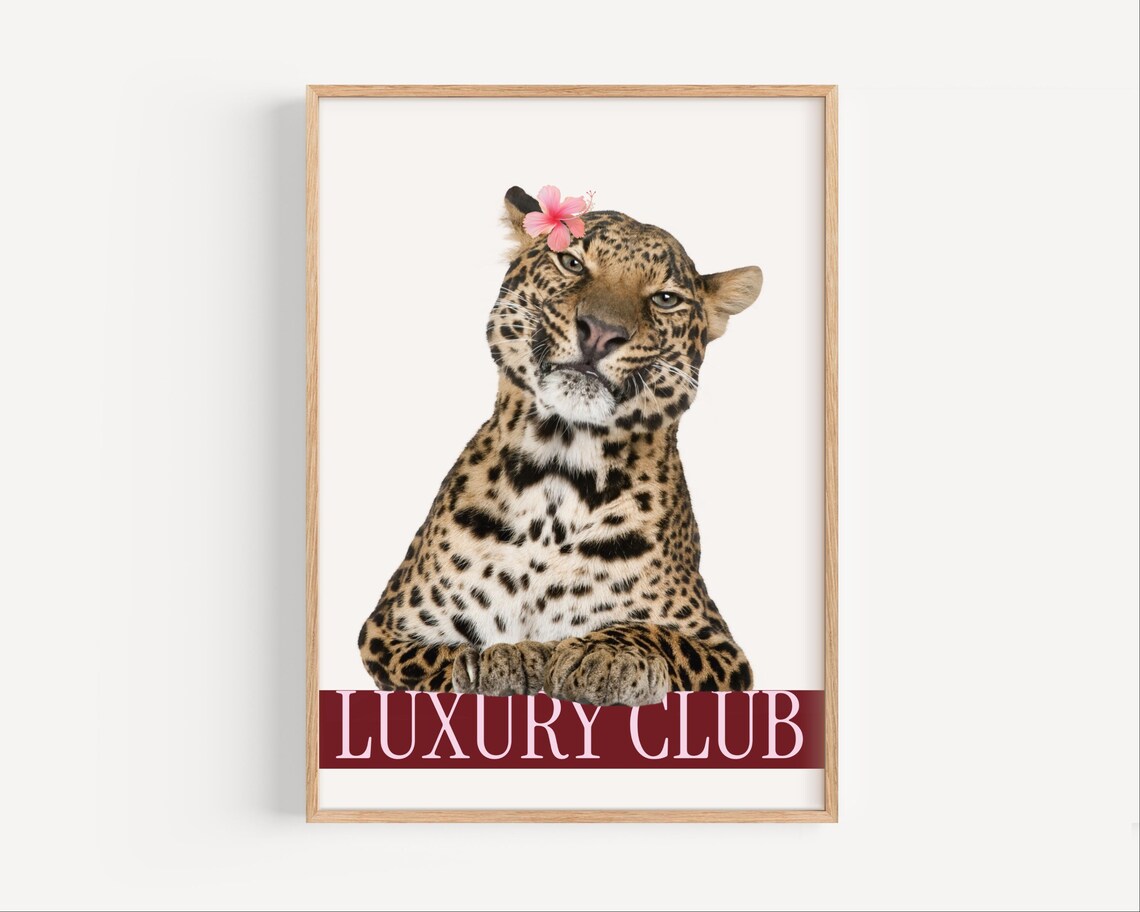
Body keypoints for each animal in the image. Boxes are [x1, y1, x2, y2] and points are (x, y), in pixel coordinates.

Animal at [357, 185, 764, 706]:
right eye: (571, 262)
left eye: (665, 298)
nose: (601, 331)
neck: (558, 469)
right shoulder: (388, 628)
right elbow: (442, 658)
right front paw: (501, 660)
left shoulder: (722, 650)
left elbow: (653, 633)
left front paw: (602, 656)